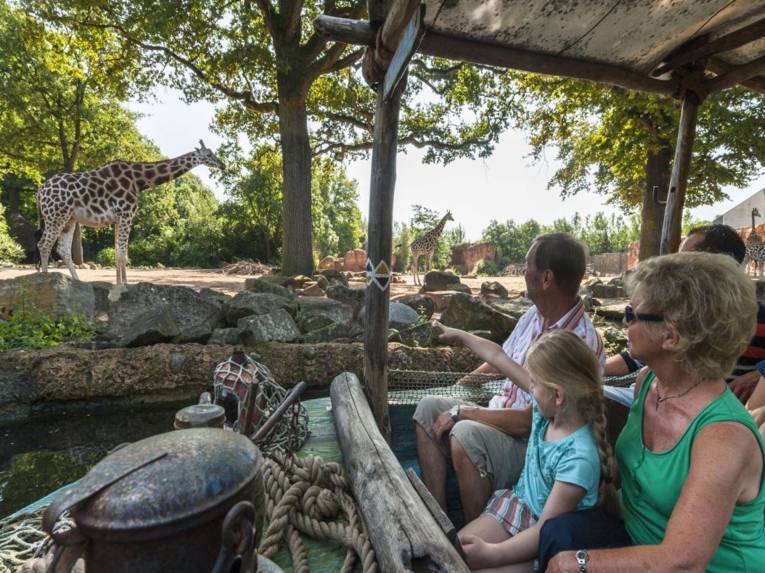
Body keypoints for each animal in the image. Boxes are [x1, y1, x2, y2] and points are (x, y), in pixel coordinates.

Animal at [38, 141, 224, 284]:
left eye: (213, 153)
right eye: (208, 154)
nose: (222, 164)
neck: (140, 181)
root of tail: (39, 192)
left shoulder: (118, 218)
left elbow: (118, 254)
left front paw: (120, 284)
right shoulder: (126, 215)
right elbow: (122, 254)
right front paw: (124, 286)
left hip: (69, 219)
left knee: (62, 249)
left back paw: (76, 282)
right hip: (56, 216)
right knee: (44, 244)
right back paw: (45, 282)